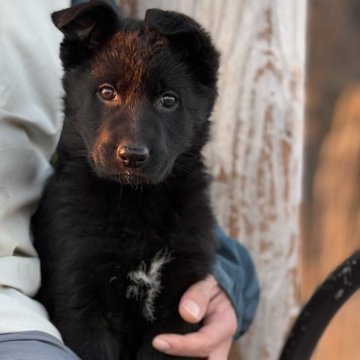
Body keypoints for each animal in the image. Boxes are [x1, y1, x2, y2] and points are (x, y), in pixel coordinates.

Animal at [33, 0, 219, 360]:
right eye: (107, 92)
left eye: (169, 100)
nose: (132, 156)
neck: (136, 202)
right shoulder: (80, 297)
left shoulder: (180, 306)